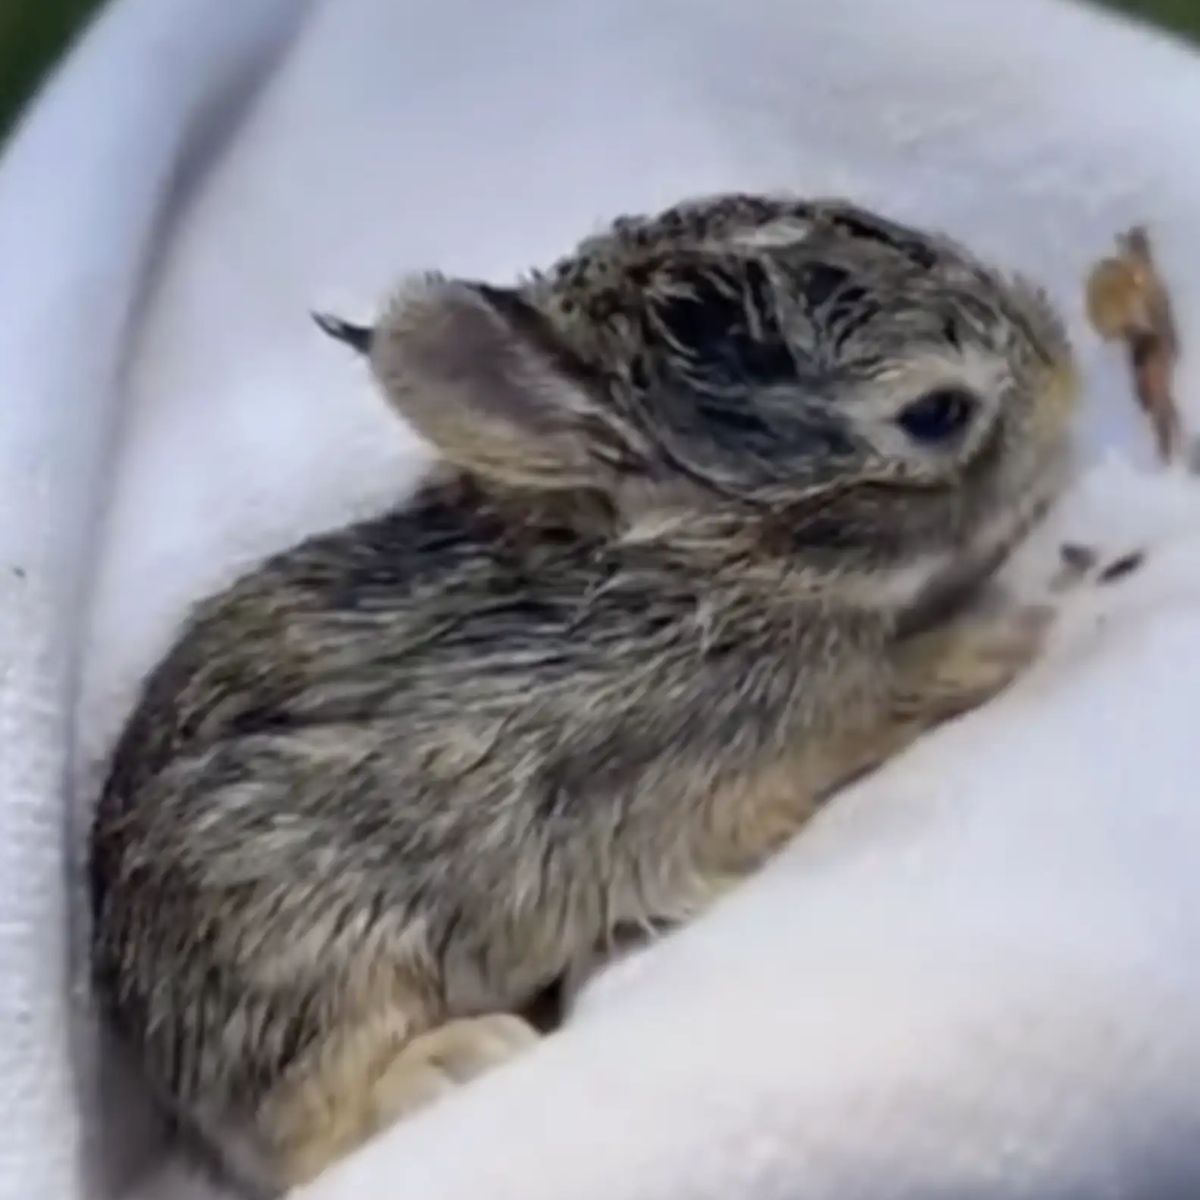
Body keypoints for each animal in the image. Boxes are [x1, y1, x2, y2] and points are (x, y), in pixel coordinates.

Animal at [88, 192, 1078, 1195]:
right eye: (938, 411)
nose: (1065, 375)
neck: (707, 566)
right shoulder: (761, 727)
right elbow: (891, 685)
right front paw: (1005, 632)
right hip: (309, 949)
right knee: (313, 1127)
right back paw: (457, 1058)